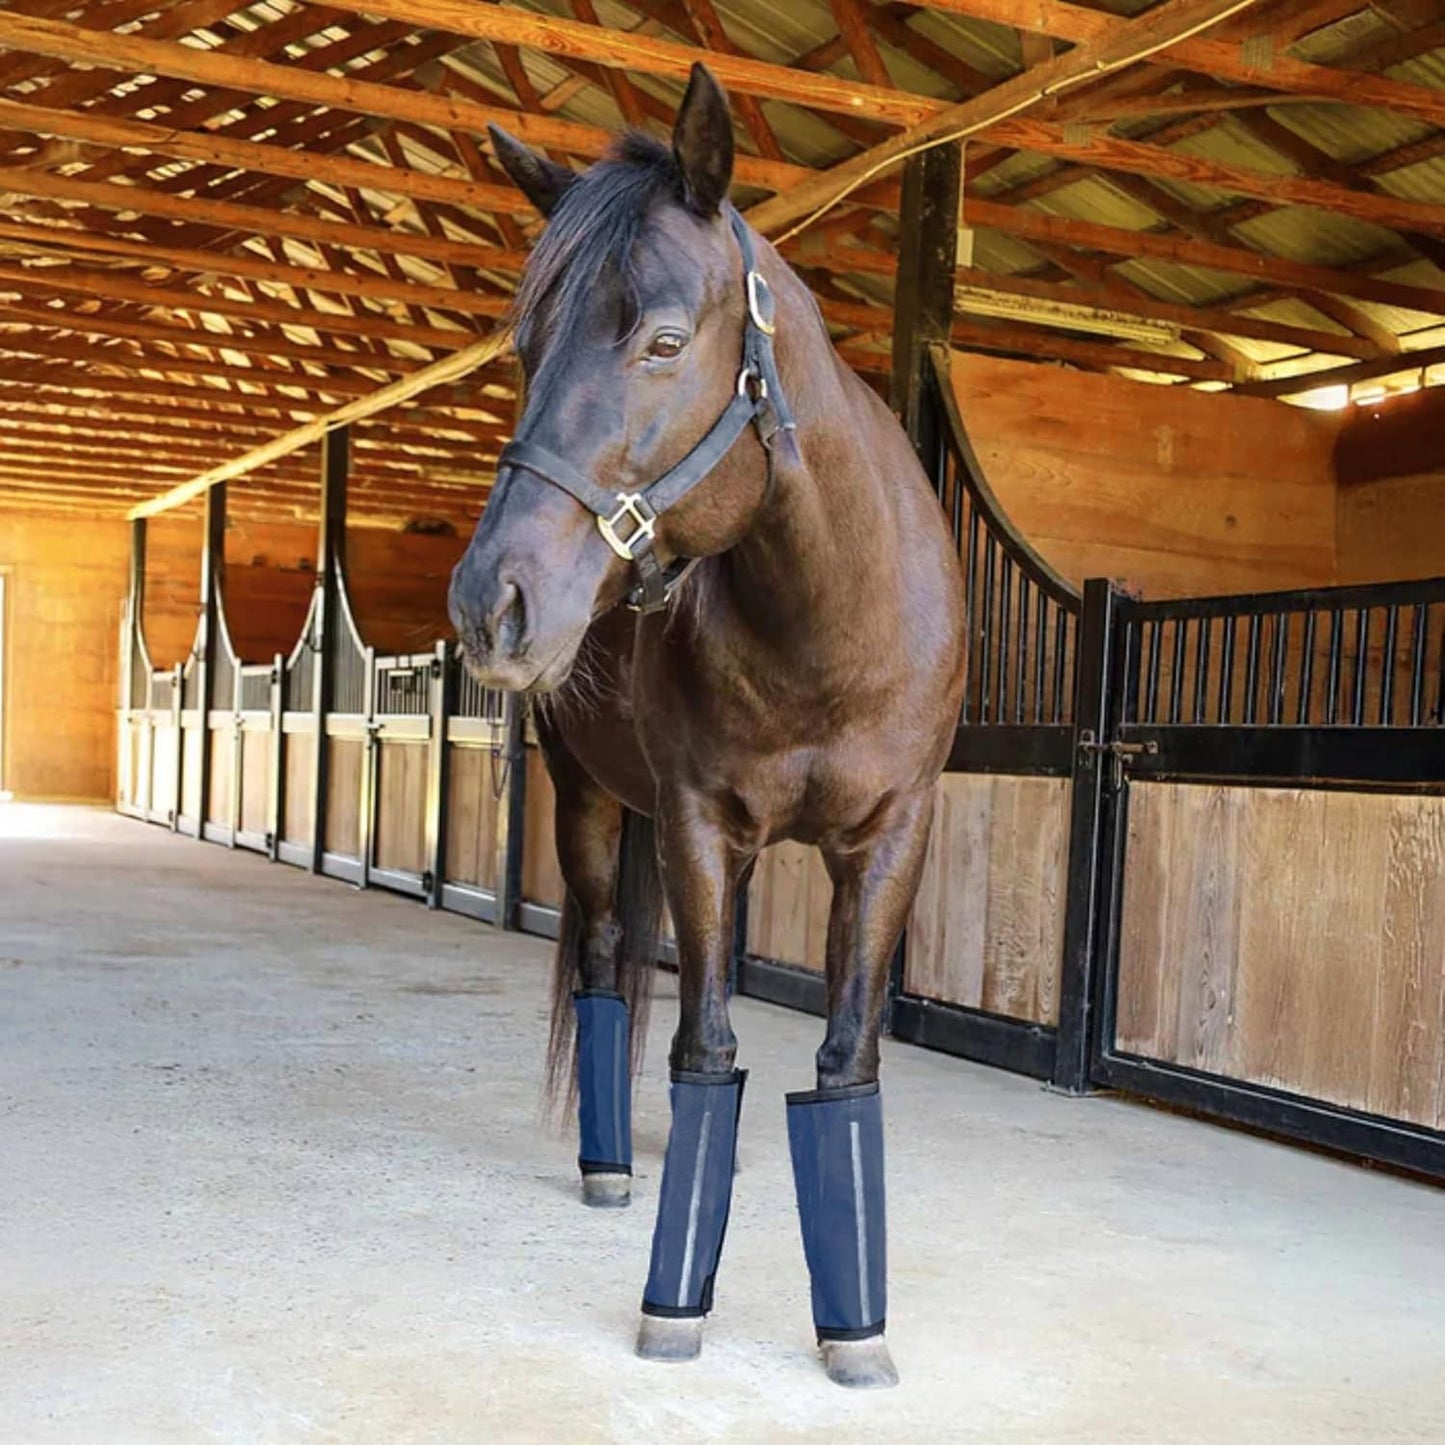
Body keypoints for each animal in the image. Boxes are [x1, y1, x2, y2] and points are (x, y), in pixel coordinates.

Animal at [449, 63, 965, 1389]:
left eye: (665, 341)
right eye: (527, 347)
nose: (489, 602)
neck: (827, 623)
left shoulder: (888, 841)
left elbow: (839, 1061)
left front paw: (855, 1330)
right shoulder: (694, 826)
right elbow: (700, 1046)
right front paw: (673, 1300)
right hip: (591, 807)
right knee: (602, 970)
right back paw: (610, 1166)